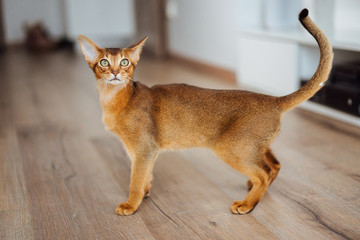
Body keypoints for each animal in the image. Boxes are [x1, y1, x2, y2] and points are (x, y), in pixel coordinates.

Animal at [78, 9, 332, 216]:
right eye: (103, 62)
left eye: (124, 62)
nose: (114, 73)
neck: (116, 100)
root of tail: (274, 99)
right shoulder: (145, 150)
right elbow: (146, 174)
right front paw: (146, 192)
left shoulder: (143, 148)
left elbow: (135, 179)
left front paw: (131, 204)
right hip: (254, 145)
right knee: (273, 166)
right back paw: (254, 190)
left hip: (231, 147)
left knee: (263, 174)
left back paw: (247, 204)